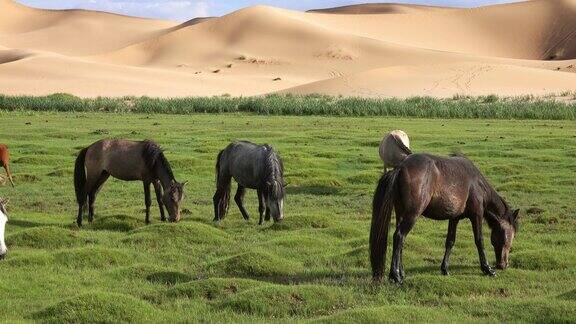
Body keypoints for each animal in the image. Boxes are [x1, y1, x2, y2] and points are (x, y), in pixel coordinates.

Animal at [372, 153, 520, 282]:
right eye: (509, 237)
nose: (503, 265)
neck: (476, 183)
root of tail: (400, 168)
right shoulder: (476, 214)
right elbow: (479, 241)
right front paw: (487, 269)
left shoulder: (454, 218)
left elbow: (450, 241)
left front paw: (445, 269)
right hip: (412, 214)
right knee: (399, 236)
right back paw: (396, 276)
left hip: (401, 213)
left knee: (400, 240)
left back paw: (401, 273)